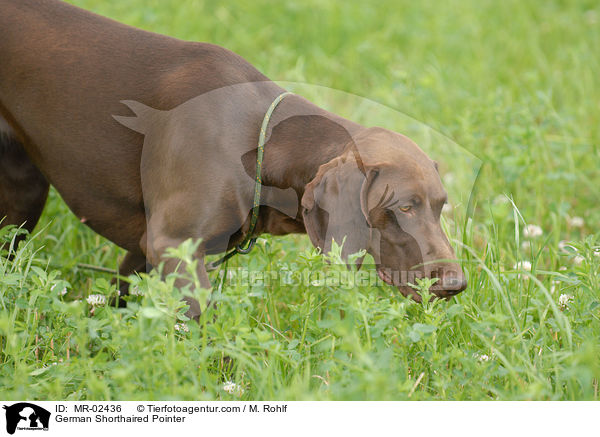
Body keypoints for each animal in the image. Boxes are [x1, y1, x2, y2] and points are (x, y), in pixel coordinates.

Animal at [0, 0, 464, 316]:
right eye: (403, 207)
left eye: (441, 207)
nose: (458, 284)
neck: (259, 144)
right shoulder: (172, 244)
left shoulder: (145, 249)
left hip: (21, 201)